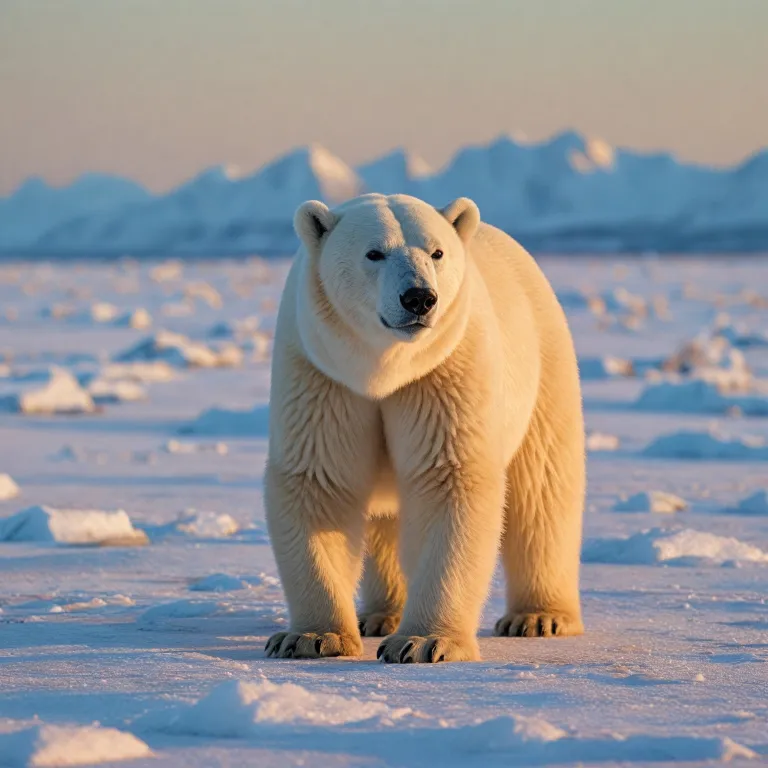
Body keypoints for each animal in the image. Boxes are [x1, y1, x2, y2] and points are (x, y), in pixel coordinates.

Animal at [264, 193, 585, 663]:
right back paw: (379, 614)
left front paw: (425, 642)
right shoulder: (322, 374)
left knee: (542, 488)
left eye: (436, 252)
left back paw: (539, 616)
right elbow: (319, 481)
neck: (384, 371)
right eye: (374, 253)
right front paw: (311, 638)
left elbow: (447, 479)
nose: (419, 298)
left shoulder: (443, 371)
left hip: (544, 365)